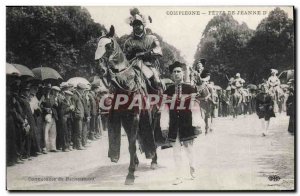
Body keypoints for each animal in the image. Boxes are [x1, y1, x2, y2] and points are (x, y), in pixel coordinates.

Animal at [94, 25, 162, 184]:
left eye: (108, 45)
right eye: (96, 45)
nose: (100, 69)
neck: (126, 84)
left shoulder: (136, 115)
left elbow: (132, 143)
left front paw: (130, 174)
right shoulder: (124, 118)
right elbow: (132, 142)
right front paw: (134, 164)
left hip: (154, 113)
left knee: (153, 132)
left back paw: (154, 160)